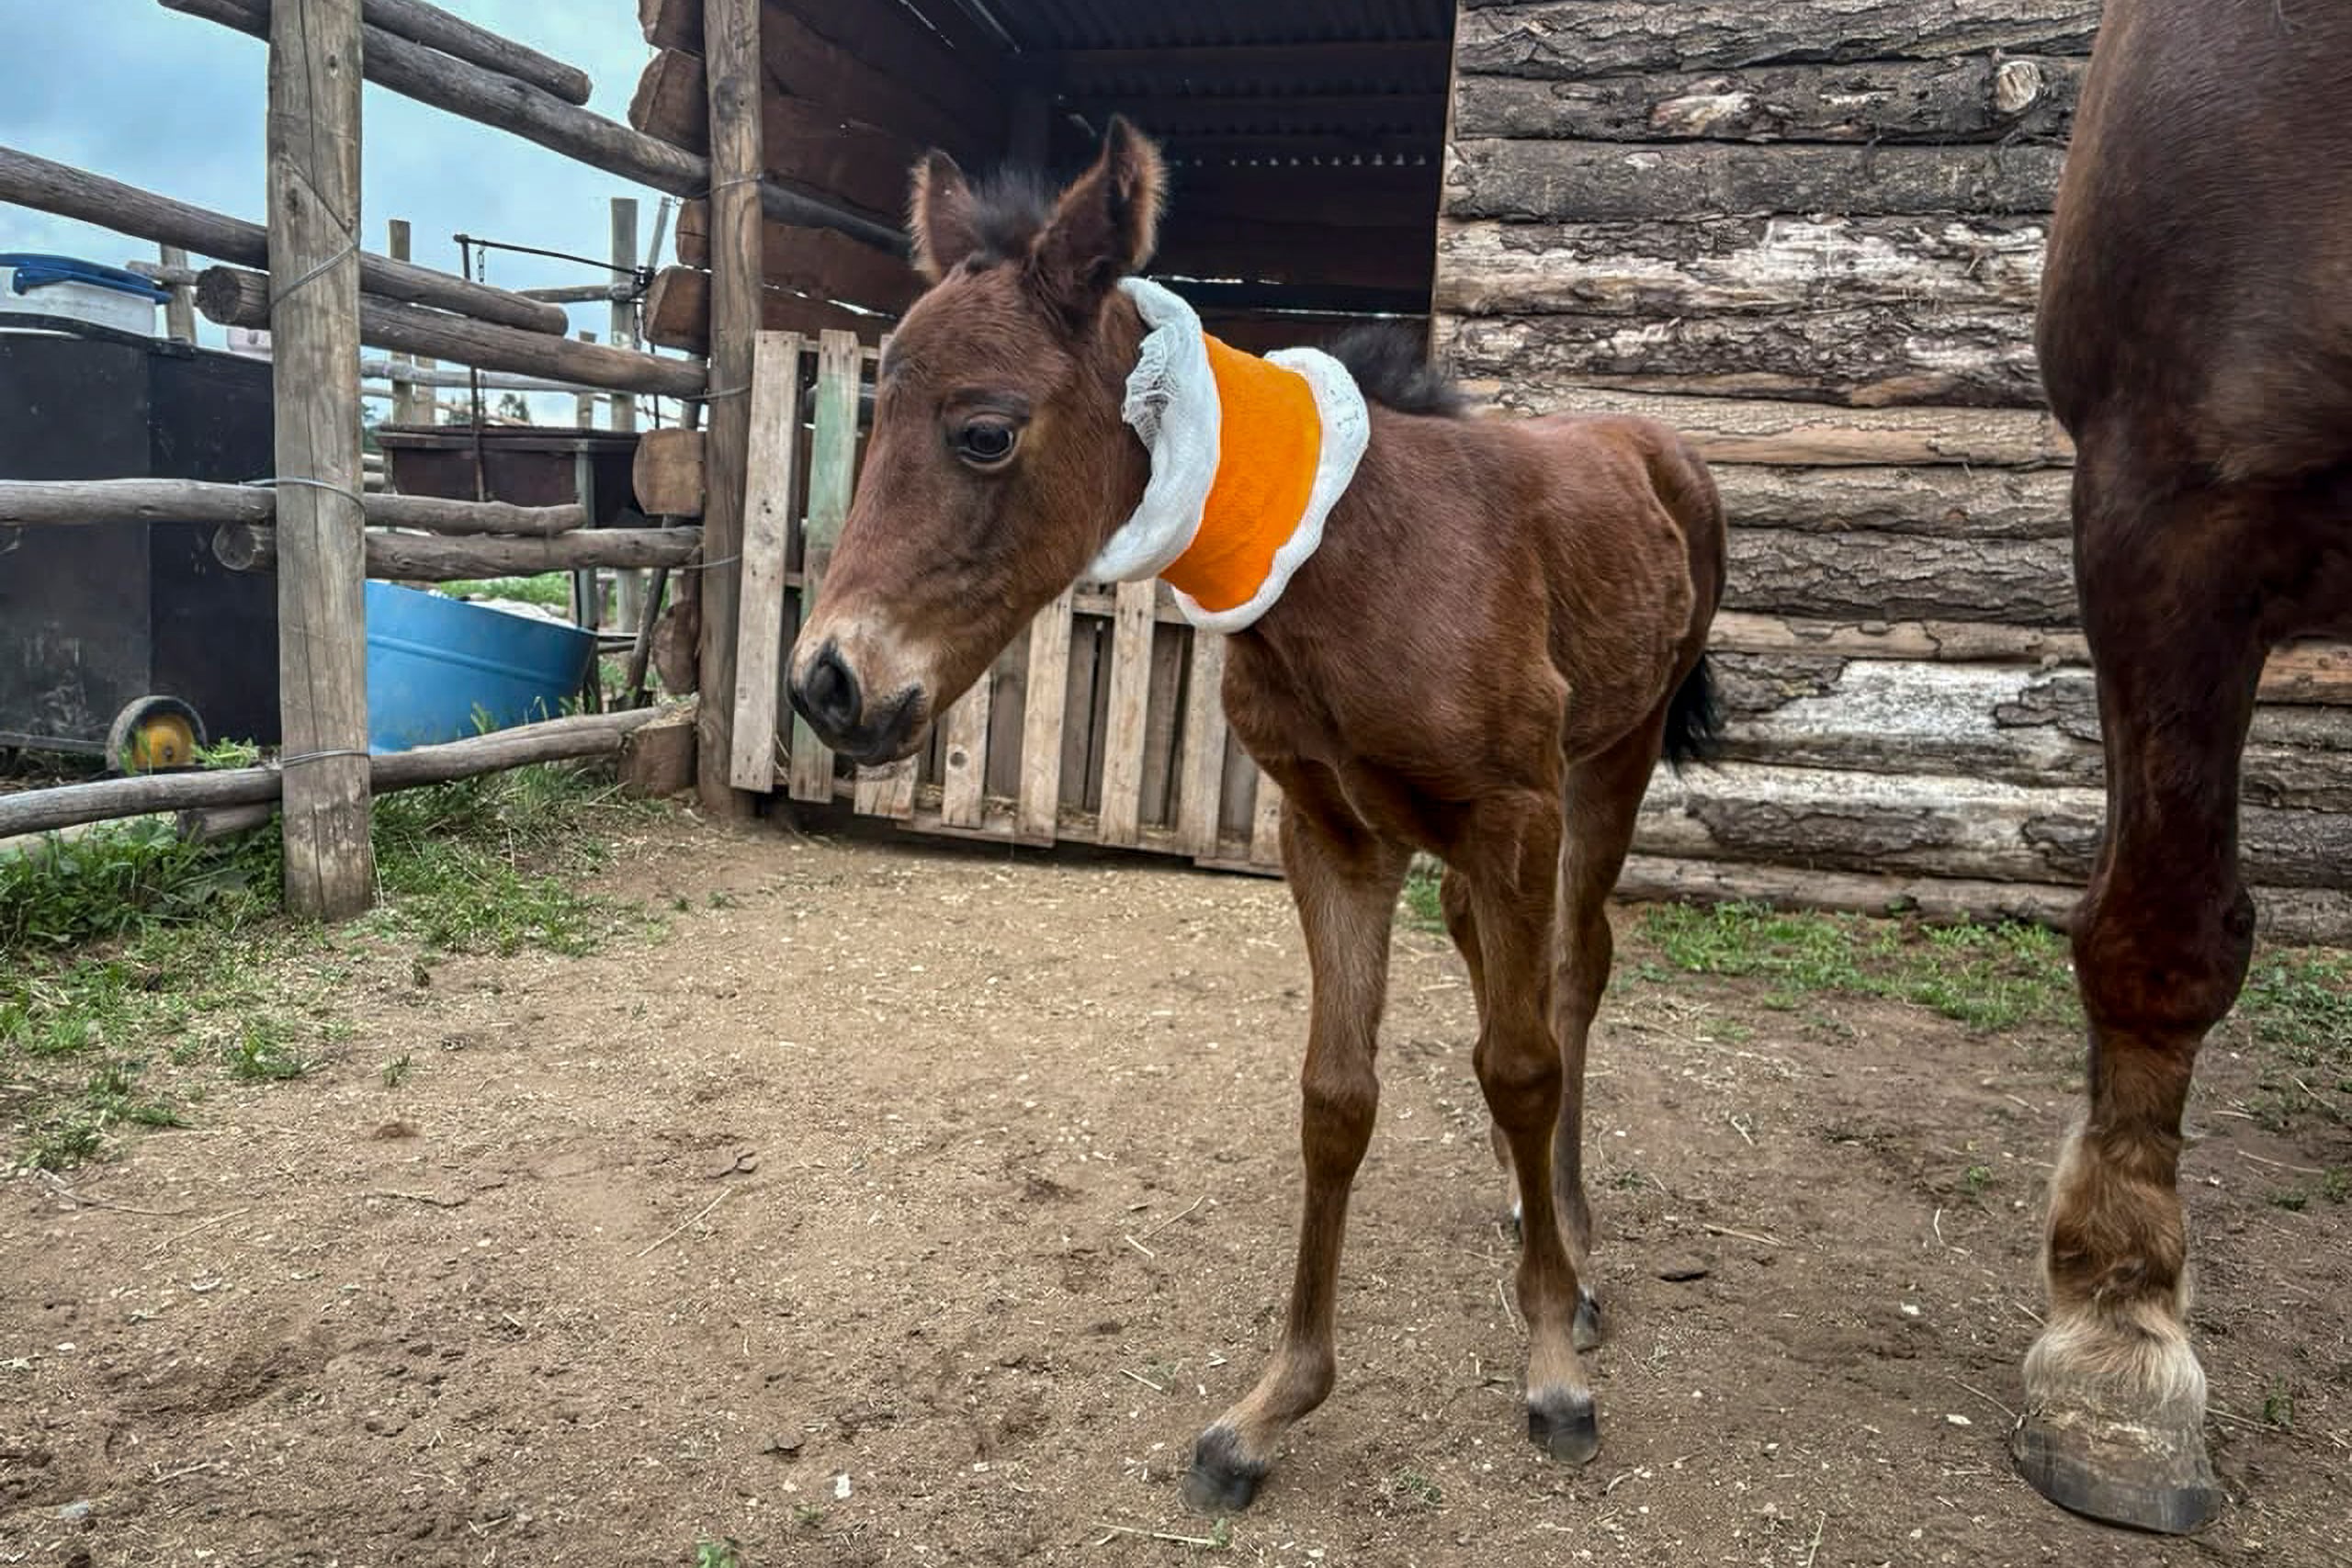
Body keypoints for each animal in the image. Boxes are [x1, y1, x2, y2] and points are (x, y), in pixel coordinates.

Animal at [786, 118, 1726, 1510]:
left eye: (986, 432)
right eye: (873, 411)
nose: (828, 683)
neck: (1359, 559)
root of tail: (1657, 451)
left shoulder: (1513, 809)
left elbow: (1519, 1061)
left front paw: (1553, 1362)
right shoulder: (1329, 831)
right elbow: (1337, 1097)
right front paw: (1269, 1409)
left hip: (1612, 763)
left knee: (1570, 981)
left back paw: (1575, 1245)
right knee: (1493, 965)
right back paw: (1525, 1212)